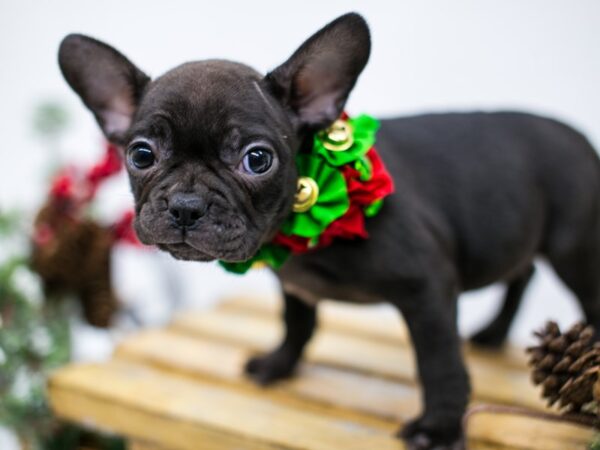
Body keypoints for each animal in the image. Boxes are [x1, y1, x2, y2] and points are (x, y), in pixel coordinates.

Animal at [57, 13, 600, 450]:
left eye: (257, 159)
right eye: (140, 154)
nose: (186, 206)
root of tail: (576, 135)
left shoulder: (427, 289)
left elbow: (439, 362)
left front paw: (440, 427)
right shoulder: (294, 286)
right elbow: (298, 323)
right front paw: (279, 365)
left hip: (575, 248)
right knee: (522, 272)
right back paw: (494, 333)